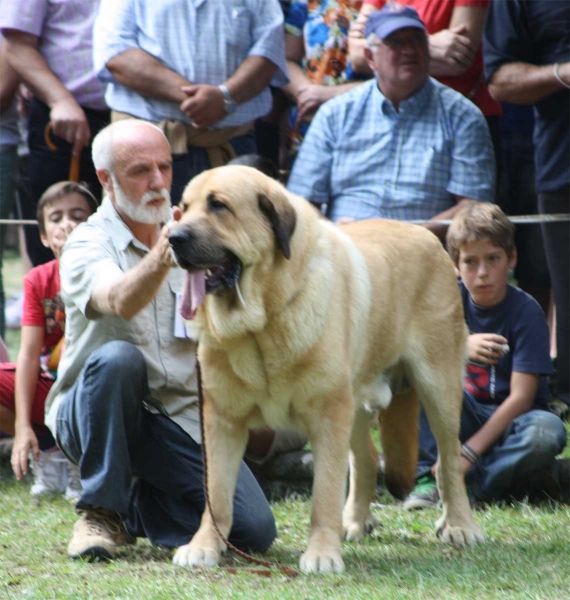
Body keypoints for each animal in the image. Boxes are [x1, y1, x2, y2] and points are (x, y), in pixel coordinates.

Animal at [166, 163, 482, 572]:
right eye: (183, 209)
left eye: (219, 205)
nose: (172, 238)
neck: (263, 323)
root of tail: (428, 235)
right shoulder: (222, 418)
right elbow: (216, 494)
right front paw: (204, 545)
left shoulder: (328, 414)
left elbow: (325, 493)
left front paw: (321, 554)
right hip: (358, 398)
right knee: (367, 458)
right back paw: (355, 522)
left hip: (438, 386)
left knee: (448, 460)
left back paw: (459, 526)